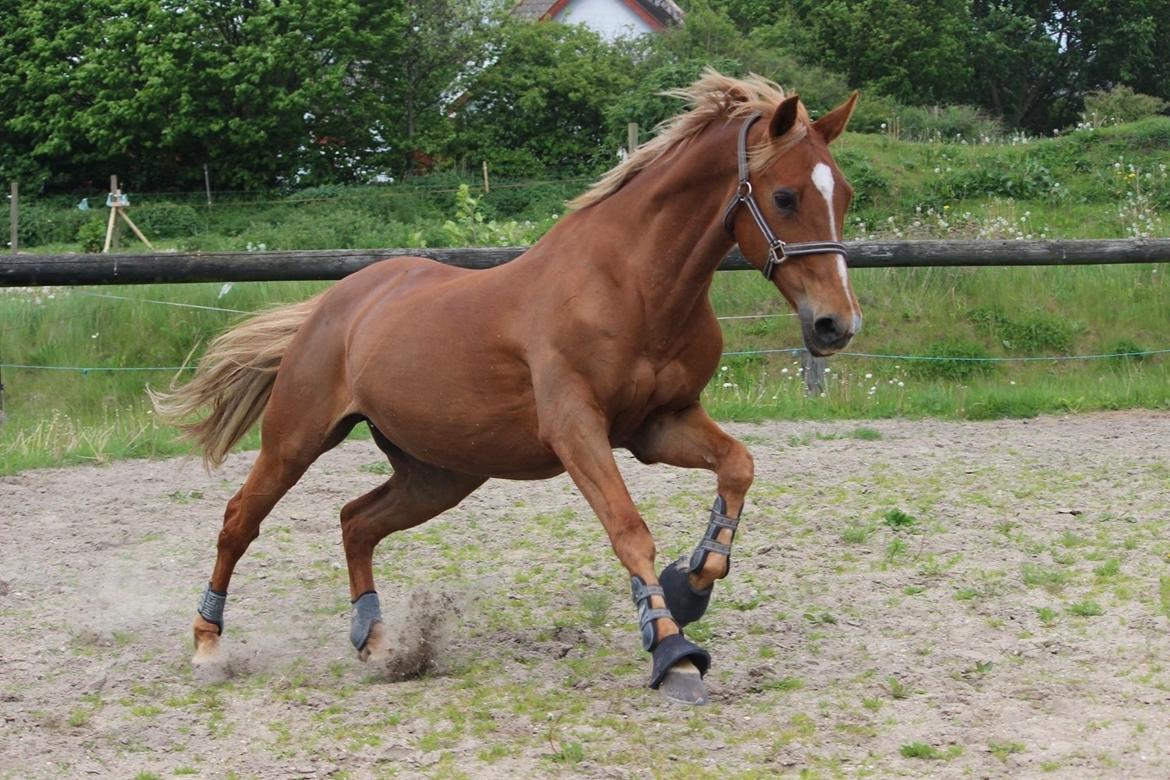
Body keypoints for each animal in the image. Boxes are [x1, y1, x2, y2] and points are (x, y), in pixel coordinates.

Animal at [153, 70, 861, 705]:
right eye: (786, 197)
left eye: (846, 195)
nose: (836, 324)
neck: (631, 286)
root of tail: (331, 303)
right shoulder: (577, 429)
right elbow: (628, 529)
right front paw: (673, 653)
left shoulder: (659, 424)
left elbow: (738, 466)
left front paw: (693, 585)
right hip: (296, 440)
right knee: (239, 521)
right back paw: (209, 645)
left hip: (440, 472)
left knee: (356, 522)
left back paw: (377, 643)